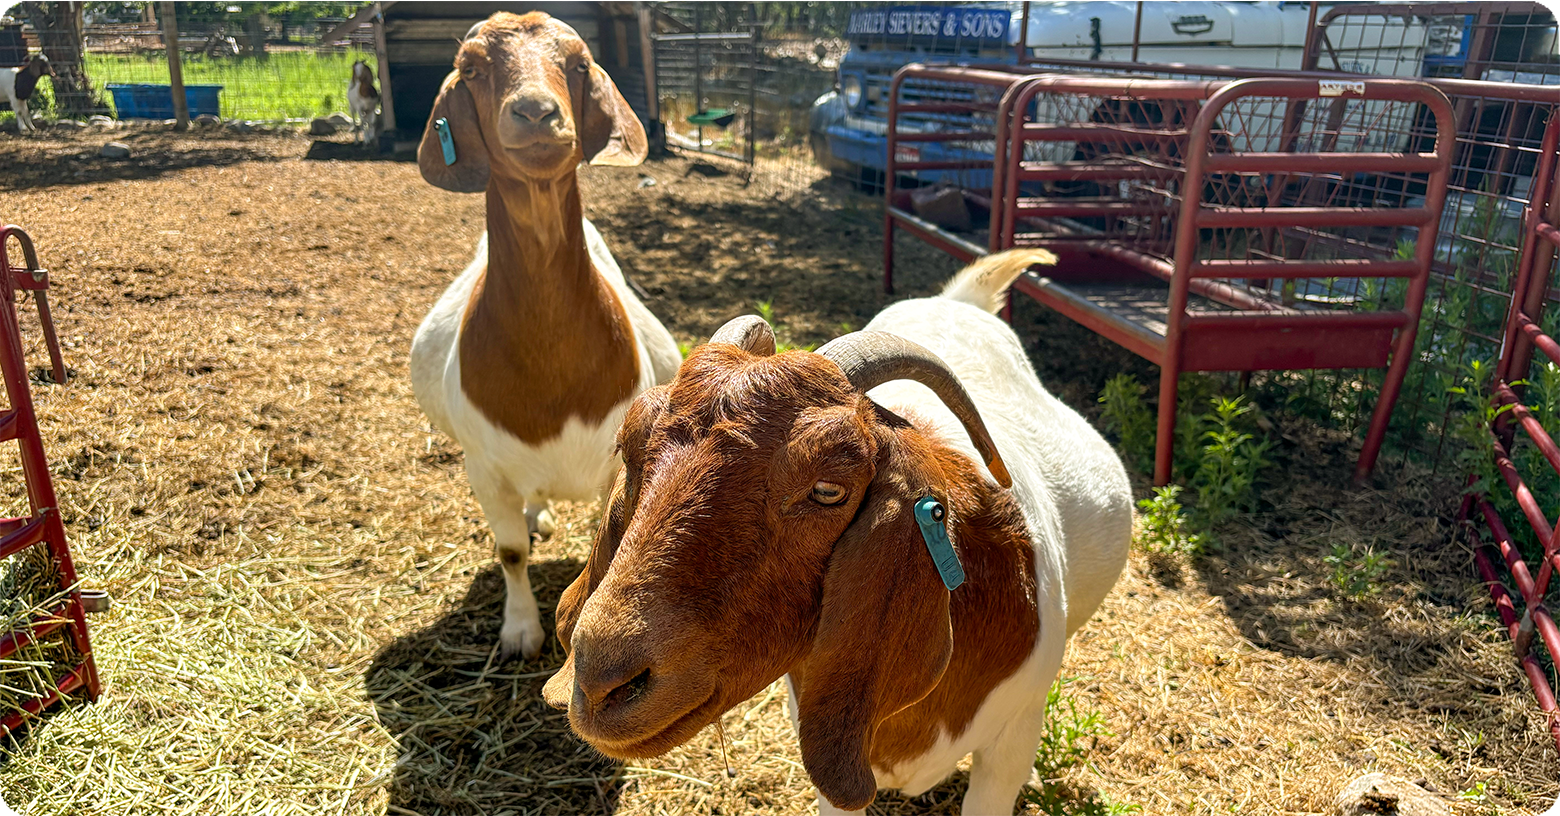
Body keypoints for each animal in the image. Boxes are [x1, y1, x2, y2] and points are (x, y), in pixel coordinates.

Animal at [411, 12, 680, 661]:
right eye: (471, 68)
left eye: (579, 63)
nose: (534, 112)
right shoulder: (484, 468)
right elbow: (510, 552)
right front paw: (520, 632)